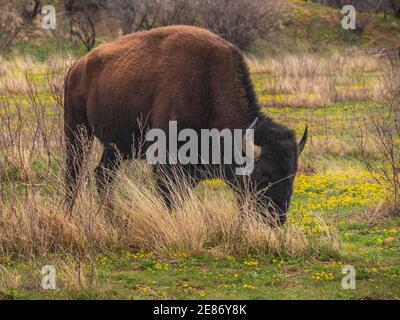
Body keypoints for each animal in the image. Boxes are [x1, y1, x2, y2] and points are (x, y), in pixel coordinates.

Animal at [64, 25, 306, 225]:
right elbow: (171, 198)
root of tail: (78, 66)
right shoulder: (166, 162)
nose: (276, 219)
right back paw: (70, 214)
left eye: (292, 175)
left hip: (116, 148)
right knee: (74, 171)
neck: (210, 89)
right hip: (76, 130)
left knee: (103, 175)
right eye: (263, 177)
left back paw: (112, 218)